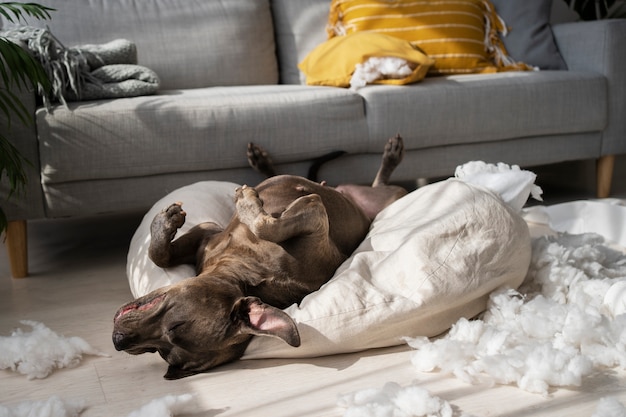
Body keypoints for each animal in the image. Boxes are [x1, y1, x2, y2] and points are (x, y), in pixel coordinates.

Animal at [111, 135, 404, 378]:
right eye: (158, 350)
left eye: (173, 329)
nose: (118, 340)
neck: (246, 271)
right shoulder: (206, 233)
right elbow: (158, 255)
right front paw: (165, 223)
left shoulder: (315, 212)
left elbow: (266, 225)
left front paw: (247, 203)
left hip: (390, 198)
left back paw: (392, 156)